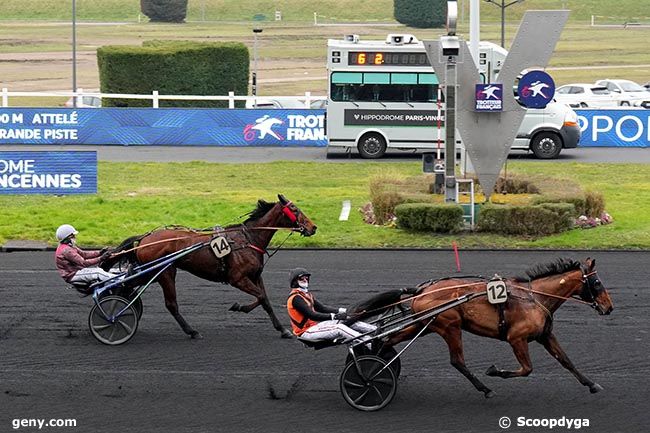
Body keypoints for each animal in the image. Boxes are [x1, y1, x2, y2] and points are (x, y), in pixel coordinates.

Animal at [104, 194, 316, 340]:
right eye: (294, 209)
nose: (313, 227)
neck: (247, 239)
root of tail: (144, 238)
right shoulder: (237, 278)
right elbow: (261, 297)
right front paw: (239, 307)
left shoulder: (255, 276)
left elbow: (265, 300)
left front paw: (282, 329)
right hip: (165, 273)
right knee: (170, 304)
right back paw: (191, 331)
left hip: (153, 272)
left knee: (127, 285)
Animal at [384, 258, 612, 396]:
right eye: (597, 283)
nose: (609, 307)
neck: (535, 298)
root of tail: (421, 290)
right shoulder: (516, 338)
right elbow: (527, 369)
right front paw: (494, 371)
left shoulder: (545, 335)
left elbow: (566, 360)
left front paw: (592, 384)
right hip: (450, 326)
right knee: (457, 361)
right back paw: (485, 389)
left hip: (424, 324)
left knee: (388, 340)